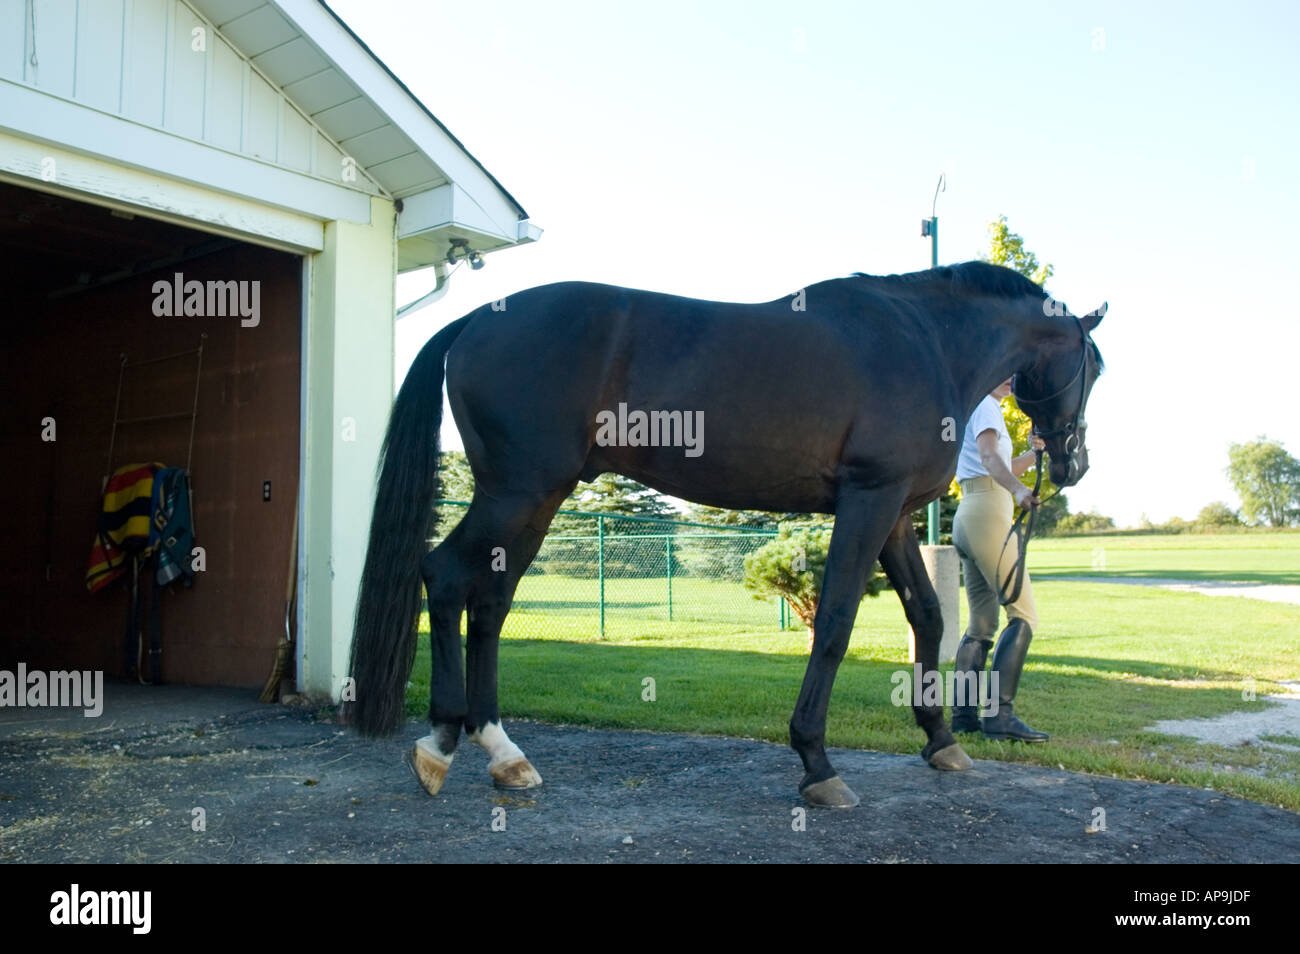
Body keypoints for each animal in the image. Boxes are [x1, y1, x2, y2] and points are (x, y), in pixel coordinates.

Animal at [347, 260, 1106, 808]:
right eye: (1094, 368)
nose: (1073, 463)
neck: (925, 341)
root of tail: (475, 319)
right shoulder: (870, 499)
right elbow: (835, 623)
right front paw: (816, 763)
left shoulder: (894, 514)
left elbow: (925, 615)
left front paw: (941, 740)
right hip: (517, 492)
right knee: (446, 579)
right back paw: (440, 744)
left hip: (534, 502)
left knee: (491, 606)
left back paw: (505, 755)